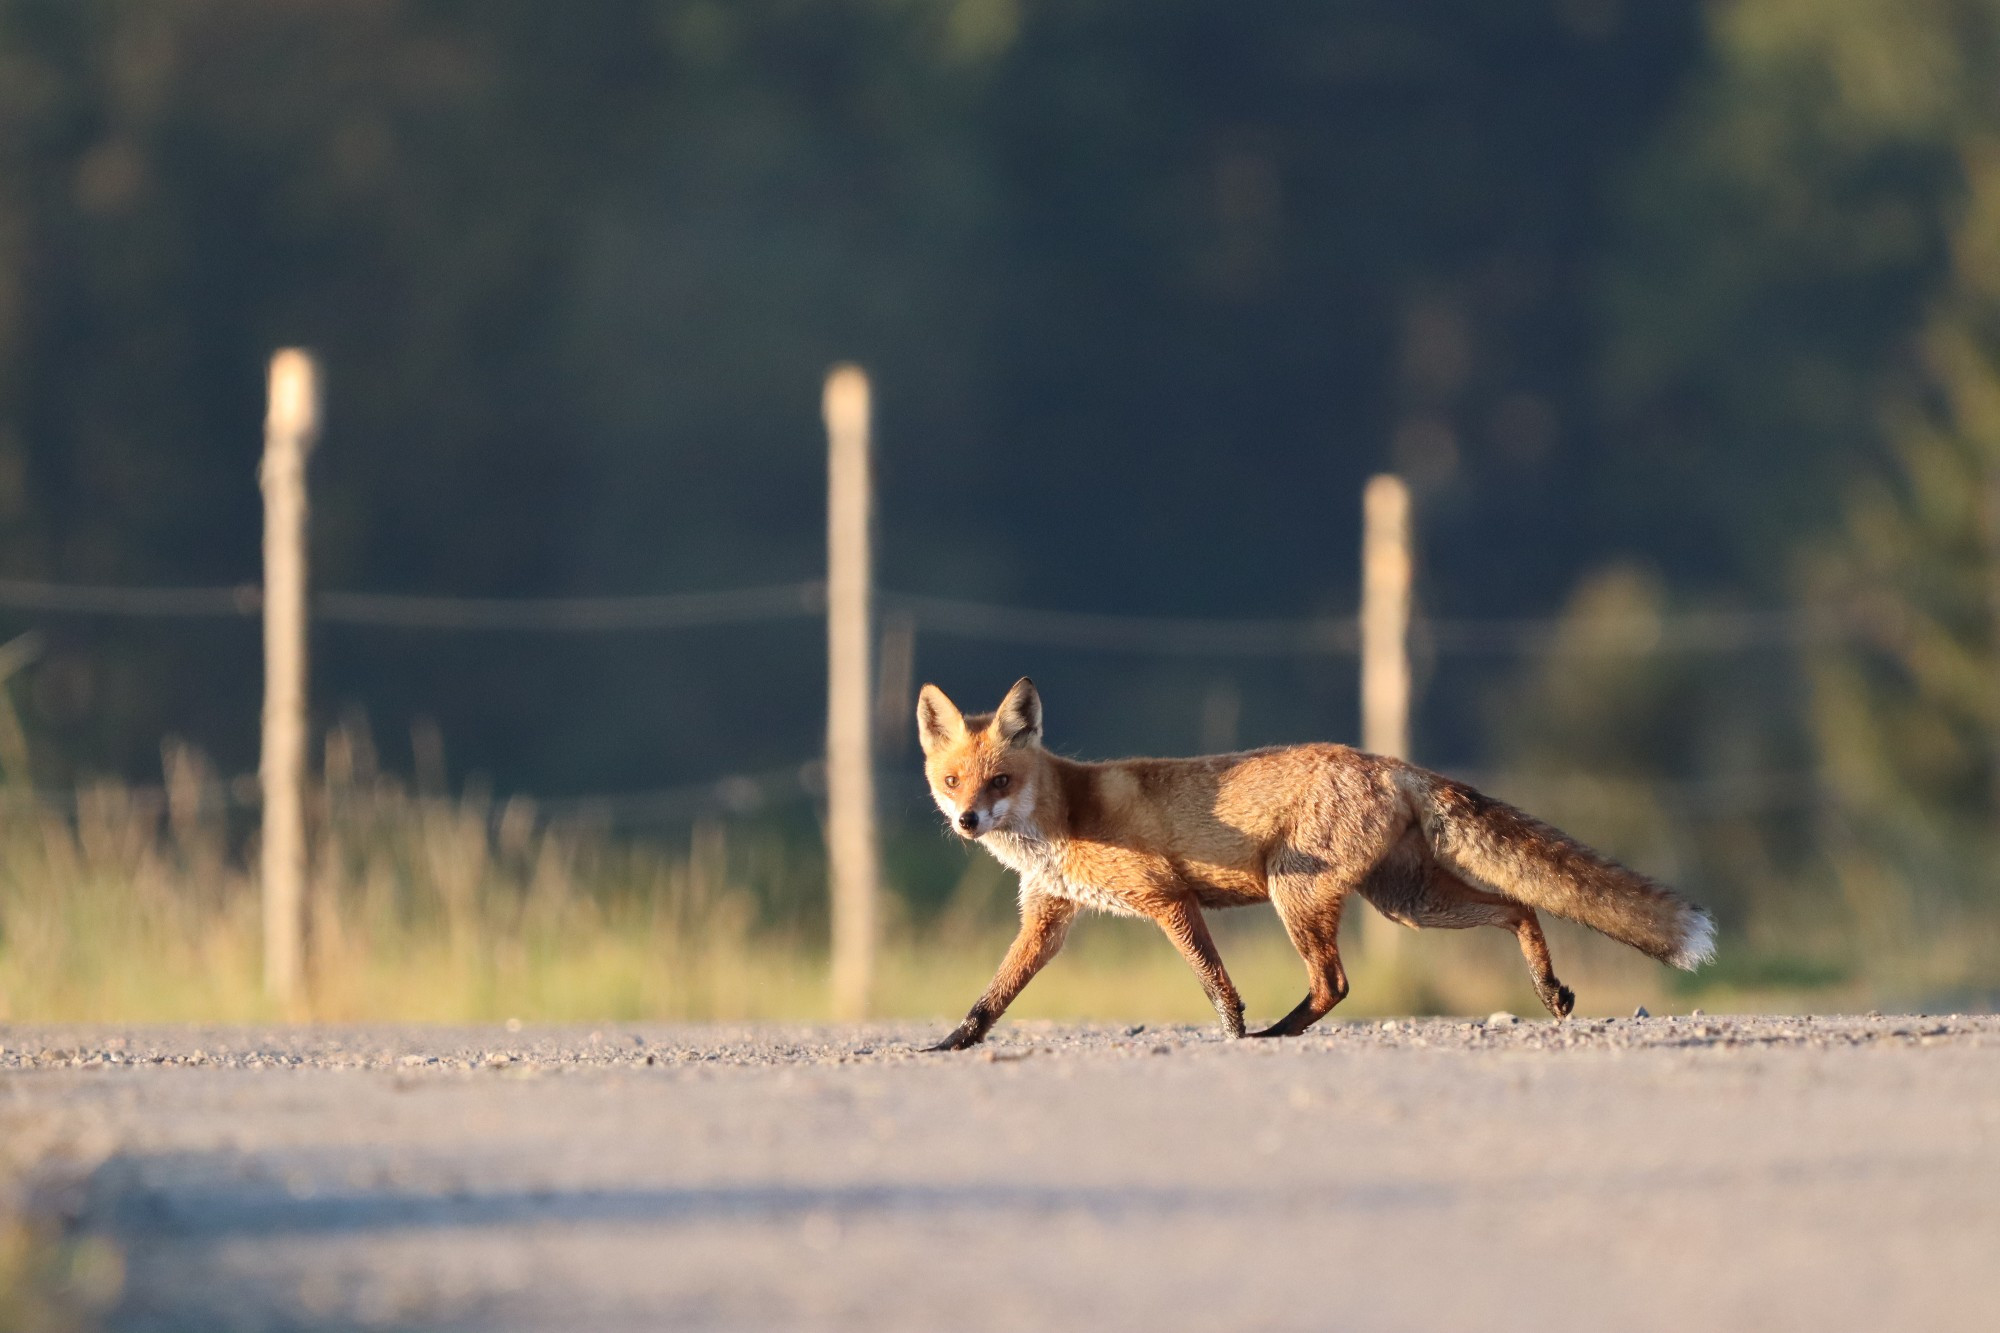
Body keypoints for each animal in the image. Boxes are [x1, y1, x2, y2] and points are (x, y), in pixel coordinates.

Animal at [916, 680, 1712, 1040]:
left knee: (1334, 982)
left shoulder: (1166, 897)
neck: (1064, 815)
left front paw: (1237, 1030)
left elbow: (1213, 977)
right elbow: (993, 996)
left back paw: (1278, 1033)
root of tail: (1388, 762)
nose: (966, 820)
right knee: (1520, 906)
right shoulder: (1048, 917)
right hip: (1409, 903)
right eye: (953, 781)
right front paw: (953, 1043)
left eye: (1000, 781)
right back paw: (1549, 989)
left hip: (1294, 893)